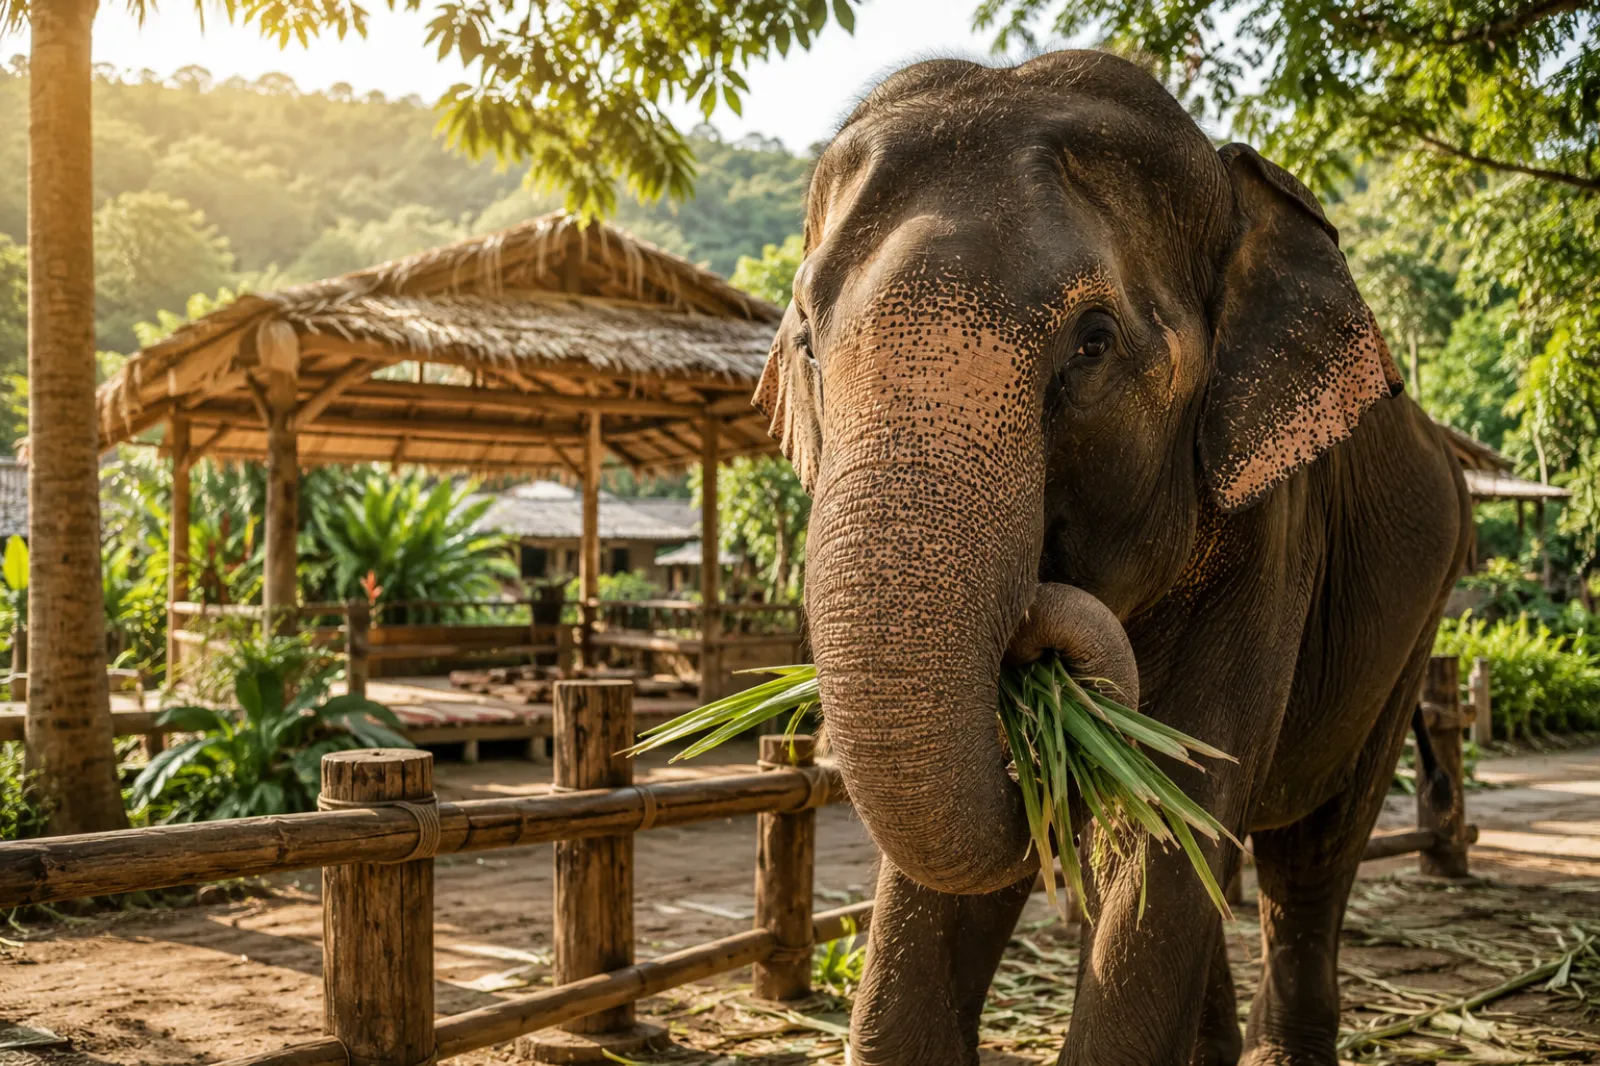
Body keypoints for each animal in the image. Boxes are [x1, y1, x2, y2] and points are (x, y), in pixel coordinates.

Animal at [752, 50, 1472, 1066]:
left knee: (1311, 847)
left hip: (1422, 616)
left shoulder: (1274, 526)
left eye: (1093, 343)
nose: (1036, 642)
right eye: (810, 343)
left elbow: (1172, 812)